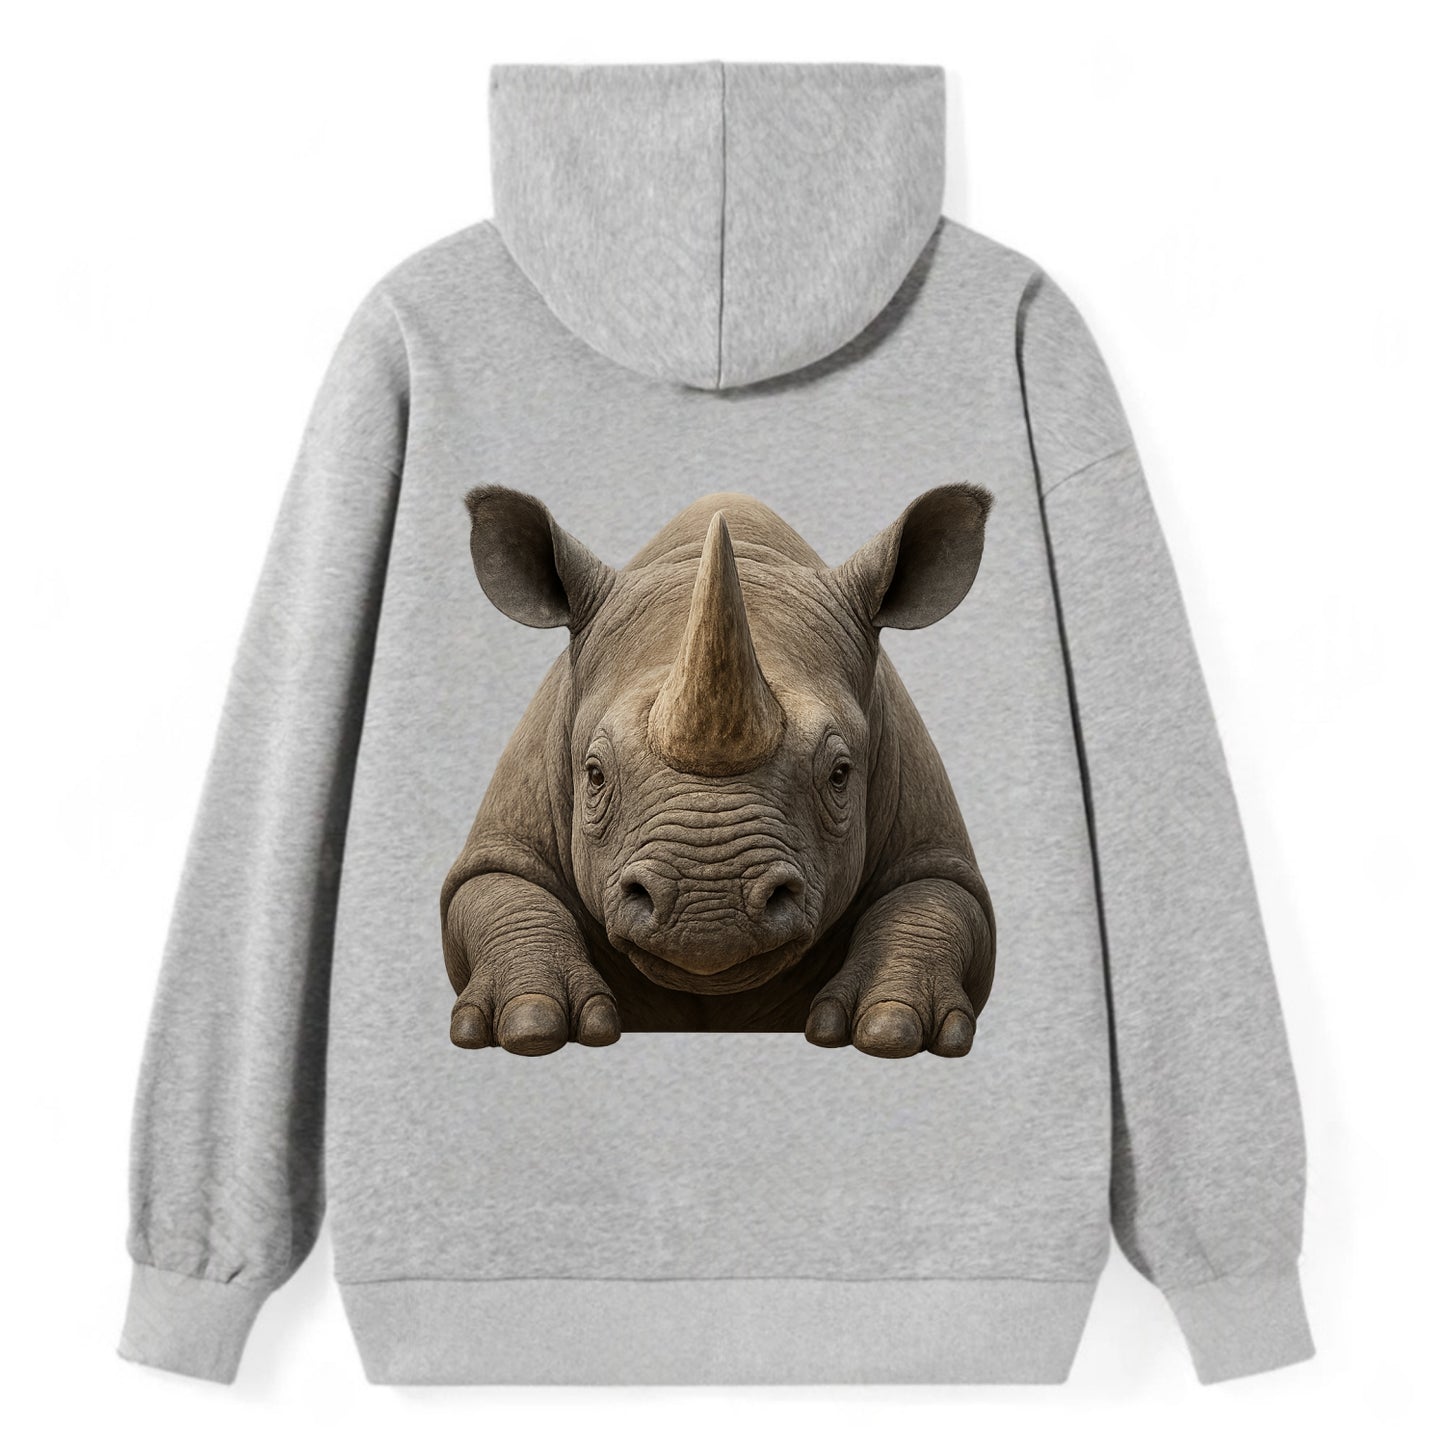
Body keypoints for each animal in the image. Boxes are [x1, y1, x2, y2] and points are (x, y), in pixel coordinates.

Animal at [441, 486, 996, 1059]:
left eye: (840, 774)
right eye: (594, 775)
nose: (709, 911)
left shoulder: (929, 836)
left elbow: (934, 898)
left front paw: (891, 1029)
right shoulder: (506, 835)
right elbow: (498, 888)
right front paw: (530, 1025)